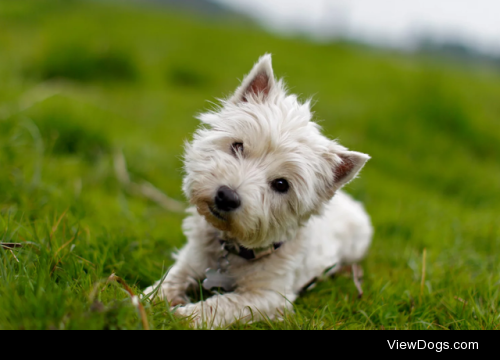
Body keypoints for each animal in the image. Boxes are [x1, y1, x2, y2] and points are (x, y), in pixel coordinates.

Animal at [144, 54, 372, 328]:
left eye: (282, 185)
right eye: (238, 146)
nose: (226, 197)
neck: (231, 246)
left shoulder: (268, 296)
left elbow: (223, 304)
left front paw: (184, 316)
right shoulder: (191, 259)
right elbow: (169, 280)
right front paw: (144, 300)